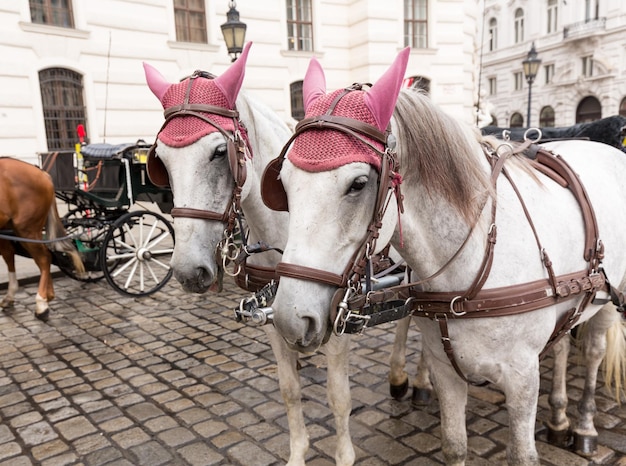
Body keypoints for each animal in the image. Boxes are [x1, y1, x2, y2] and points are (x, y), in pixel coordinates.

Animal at [143, 41, 356, 464]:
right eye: (161, 160)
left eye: (218, 152)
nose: (189, 271)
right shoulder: (274, 316)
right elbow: (289, 389)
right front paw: (298, 451)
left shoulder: (337, 317)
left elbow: (338, 396)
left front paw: (344, 454)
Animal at [260, 48, 624, 466]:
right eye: (283, 183)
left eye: (359, 184)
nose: (289, 318)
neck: (469, 275)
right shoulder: (444, 369)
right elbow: (453, 444)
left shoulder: (522, 377)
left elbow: (521, 455)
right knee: (563, 343)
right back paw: (560, 417)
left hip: (608, 298)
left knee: (594, 352)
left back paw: (583, 427)